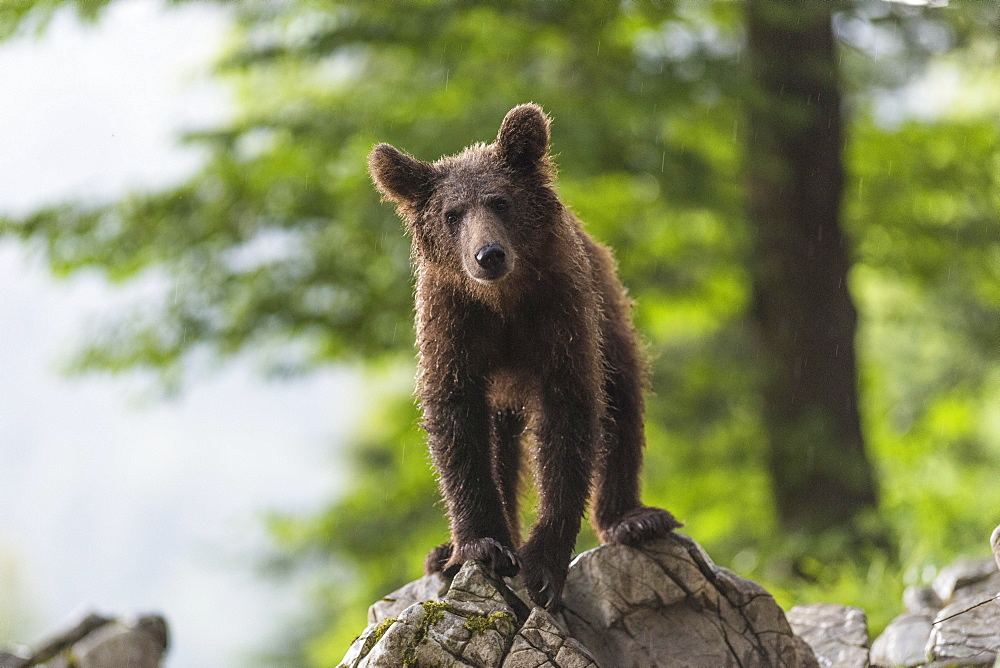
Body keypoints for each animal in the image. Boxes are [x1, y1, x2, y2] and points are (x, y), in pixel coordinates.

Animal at [368, 104, 680, 612]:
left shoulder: (557, 314)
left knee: (621, 398)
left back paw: (632, 518)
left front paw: (543, 565)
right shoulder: (453, 323)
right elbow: (456, 420)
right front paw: (481, 544)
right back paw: (445, 553)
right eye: (452, 214)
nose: (488, 255)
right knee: (500, 443)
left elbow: (569, 416)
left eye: (500, 201)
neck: (502, 303)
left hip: (608, 312)